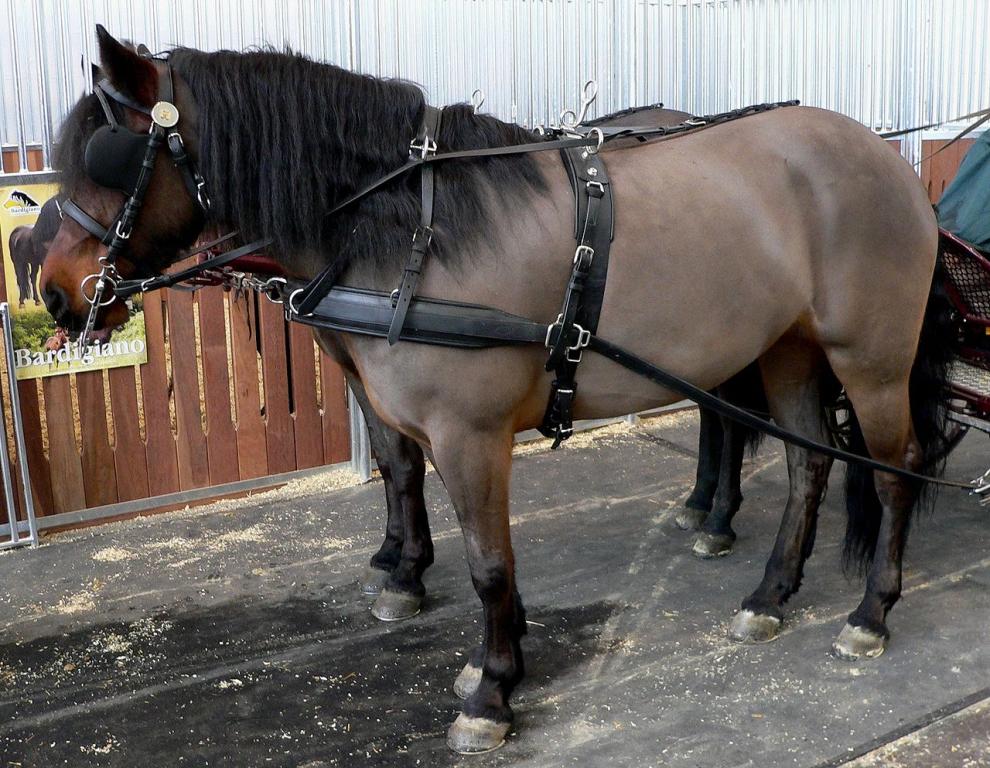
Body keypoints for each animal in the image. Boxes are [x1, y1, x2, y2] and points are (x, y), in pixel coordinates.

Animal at [40, 29, 952, 753]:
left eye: (107, 157)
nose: (51, 292)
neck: (413, 230)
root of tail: (887, 156)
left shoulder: (469, 435)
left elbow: (486, 562)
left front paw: (491, 693)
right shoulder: (417, 421)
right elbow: (434, 504)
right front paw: (480, 643)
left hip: (868, 360)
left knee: (896, 469)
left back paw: (869, 613)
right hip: (788, 350)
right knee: (810, 466)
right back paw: (769, 593)